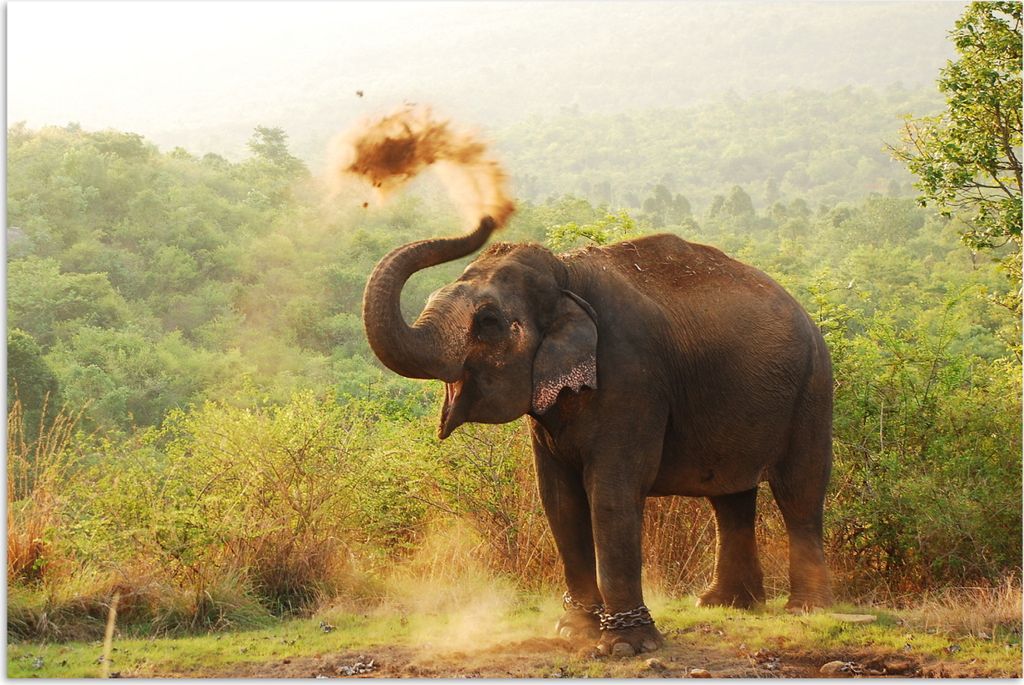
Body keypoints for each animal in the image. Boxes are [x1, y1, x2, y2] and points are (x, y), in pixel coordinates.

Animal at [362, 216, 833, 657]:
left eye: (489, 322)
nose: (487, 218)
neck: (566, 276)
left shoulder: (631, 375)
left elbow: (611, 493)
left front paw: (625, 646)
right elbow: (558, 498)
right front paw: (575, 631)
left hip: (813, 387)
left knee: (799, 490)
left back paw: (805, 608)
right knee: (730, 498)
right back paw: (724, 604)